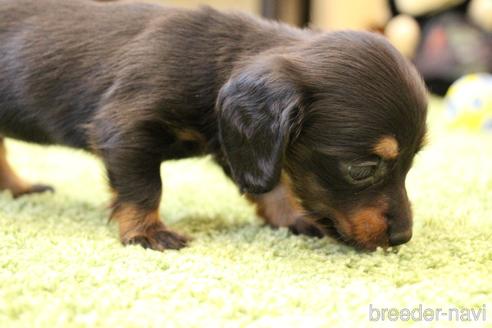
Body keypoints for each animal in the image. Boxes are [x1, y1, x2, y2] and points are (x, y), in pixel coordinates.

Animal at [0, 0, 426, 251]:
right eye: (362, 169)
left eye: (411, 164)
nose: (403, 237)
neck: (213, 63)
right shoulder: (125, 129)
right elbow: (144, 188)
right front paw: (147, 232)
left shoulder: (237, 143)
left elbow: (274, 185)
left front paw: (292, 217)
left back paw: (18, 188)